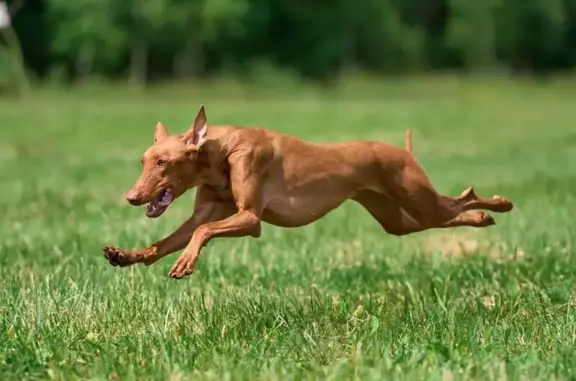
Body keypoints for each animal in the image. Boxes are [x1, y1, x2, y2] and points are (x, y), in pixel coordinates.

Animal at [103, 105, 512, 278]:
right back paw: (483, 216)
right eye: (144, 160)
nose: (131, 197)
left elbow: (202, 232)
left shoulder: (250, 219)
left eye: (163, 163)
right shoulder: (208, 212)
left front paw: (186, 262)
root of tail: (401, 150)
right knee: (443, 216)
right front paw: (125, 255)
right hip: (397, 219)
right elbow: (167, 241)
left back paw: (497, 205)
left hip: (418, 199)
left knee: (461, 197)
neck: (222, 151)